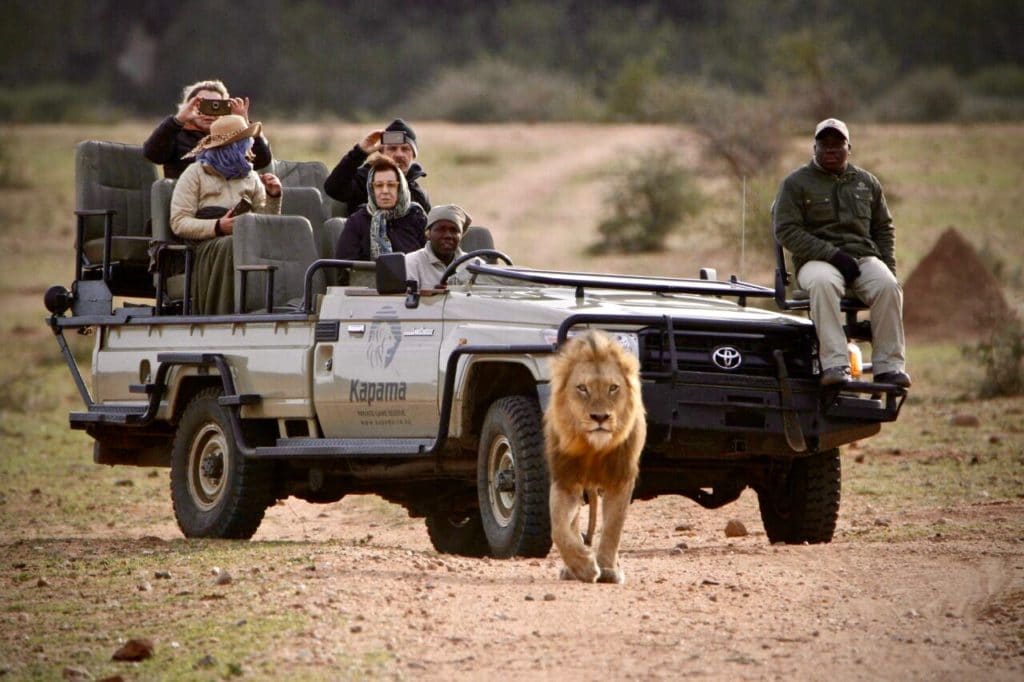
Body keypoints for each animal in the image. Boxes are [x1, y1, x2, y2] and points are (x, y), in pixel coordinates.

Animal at [544, 327, 647, 581]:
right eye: (582, 388)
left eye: (613, 388)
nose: (600, 417)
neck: (592, 448)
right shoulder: (566, 479)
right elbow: (558, 528)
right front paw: (583, 566)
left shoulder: (620, 478)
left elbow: (613, 528)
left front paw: (608, 570)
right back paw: (570, 570)